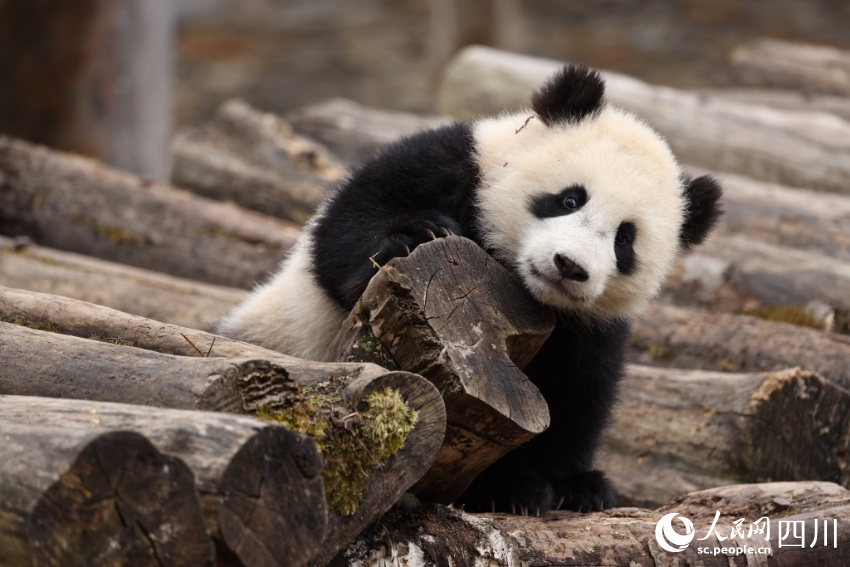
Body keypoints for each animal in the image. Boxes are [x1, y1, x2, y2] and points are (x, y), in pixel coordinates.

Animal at [217, 65, 723, 514]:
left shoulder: (587, 326)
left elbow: (579, 392)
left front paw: (577, 486)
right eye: (569, 199)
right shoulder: (449, 159)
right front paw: (418, 234)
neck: (519, 285)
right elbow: (345, 234)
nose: (570, 266)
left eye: (624, 240)